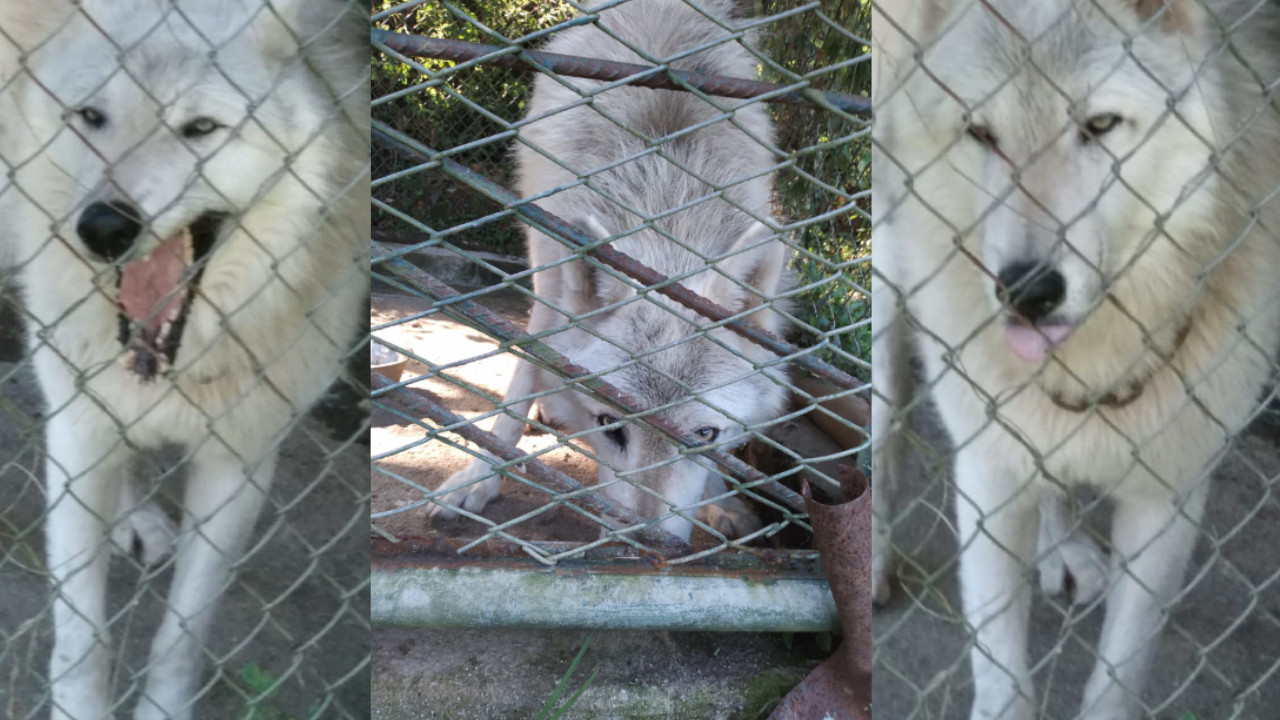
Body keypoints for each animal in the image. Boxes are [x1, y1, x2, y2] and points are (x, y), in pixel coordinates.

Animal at [0, 1, 369, 718]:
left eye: (200, 129)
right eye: (92, 116)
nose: (104, 228)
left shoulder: (240, 465)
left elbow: (181, 636)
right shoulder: (76, 431)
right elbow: (80, 641)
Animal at [428, 0, 790, 541]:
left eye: (704, 434)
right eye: (607, 425)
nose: (645, 548)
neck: (668, 214)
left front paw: (722, 499)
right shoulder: (549, 284)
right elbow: (520, 384)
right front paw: (478, 477)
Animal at [872, 0, 1280, 717]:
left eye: (1100, 125)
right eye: (980, 132)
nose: (1029, 291)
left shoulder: (1168, 499)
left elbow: (1120, 674)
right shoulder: (986, 475)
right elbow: (1002, 680)